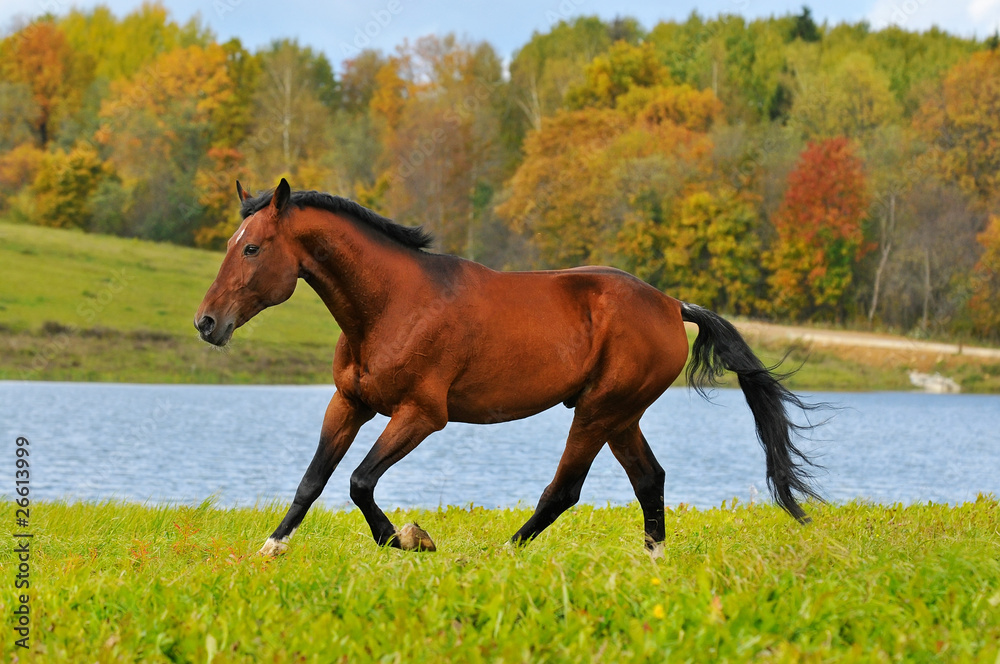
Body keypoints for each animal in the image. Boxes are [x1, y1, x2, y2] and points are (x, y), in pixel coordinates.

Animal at [195, 178, 821, 557]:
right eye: (229, 243)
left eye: (252, 248)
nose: (206, 323)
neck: (393, 305)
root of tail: (672, 305)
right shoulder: (349, 404)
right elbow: (314, 479)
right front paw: (272, 547)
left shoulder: (420, 415)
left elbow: (359, 481)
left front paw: (409, 539)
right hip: (621, 415)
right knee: (649, 479)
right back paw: (654, 562)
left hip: (598, 412)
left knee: (564, 490)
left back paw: (506, 553)